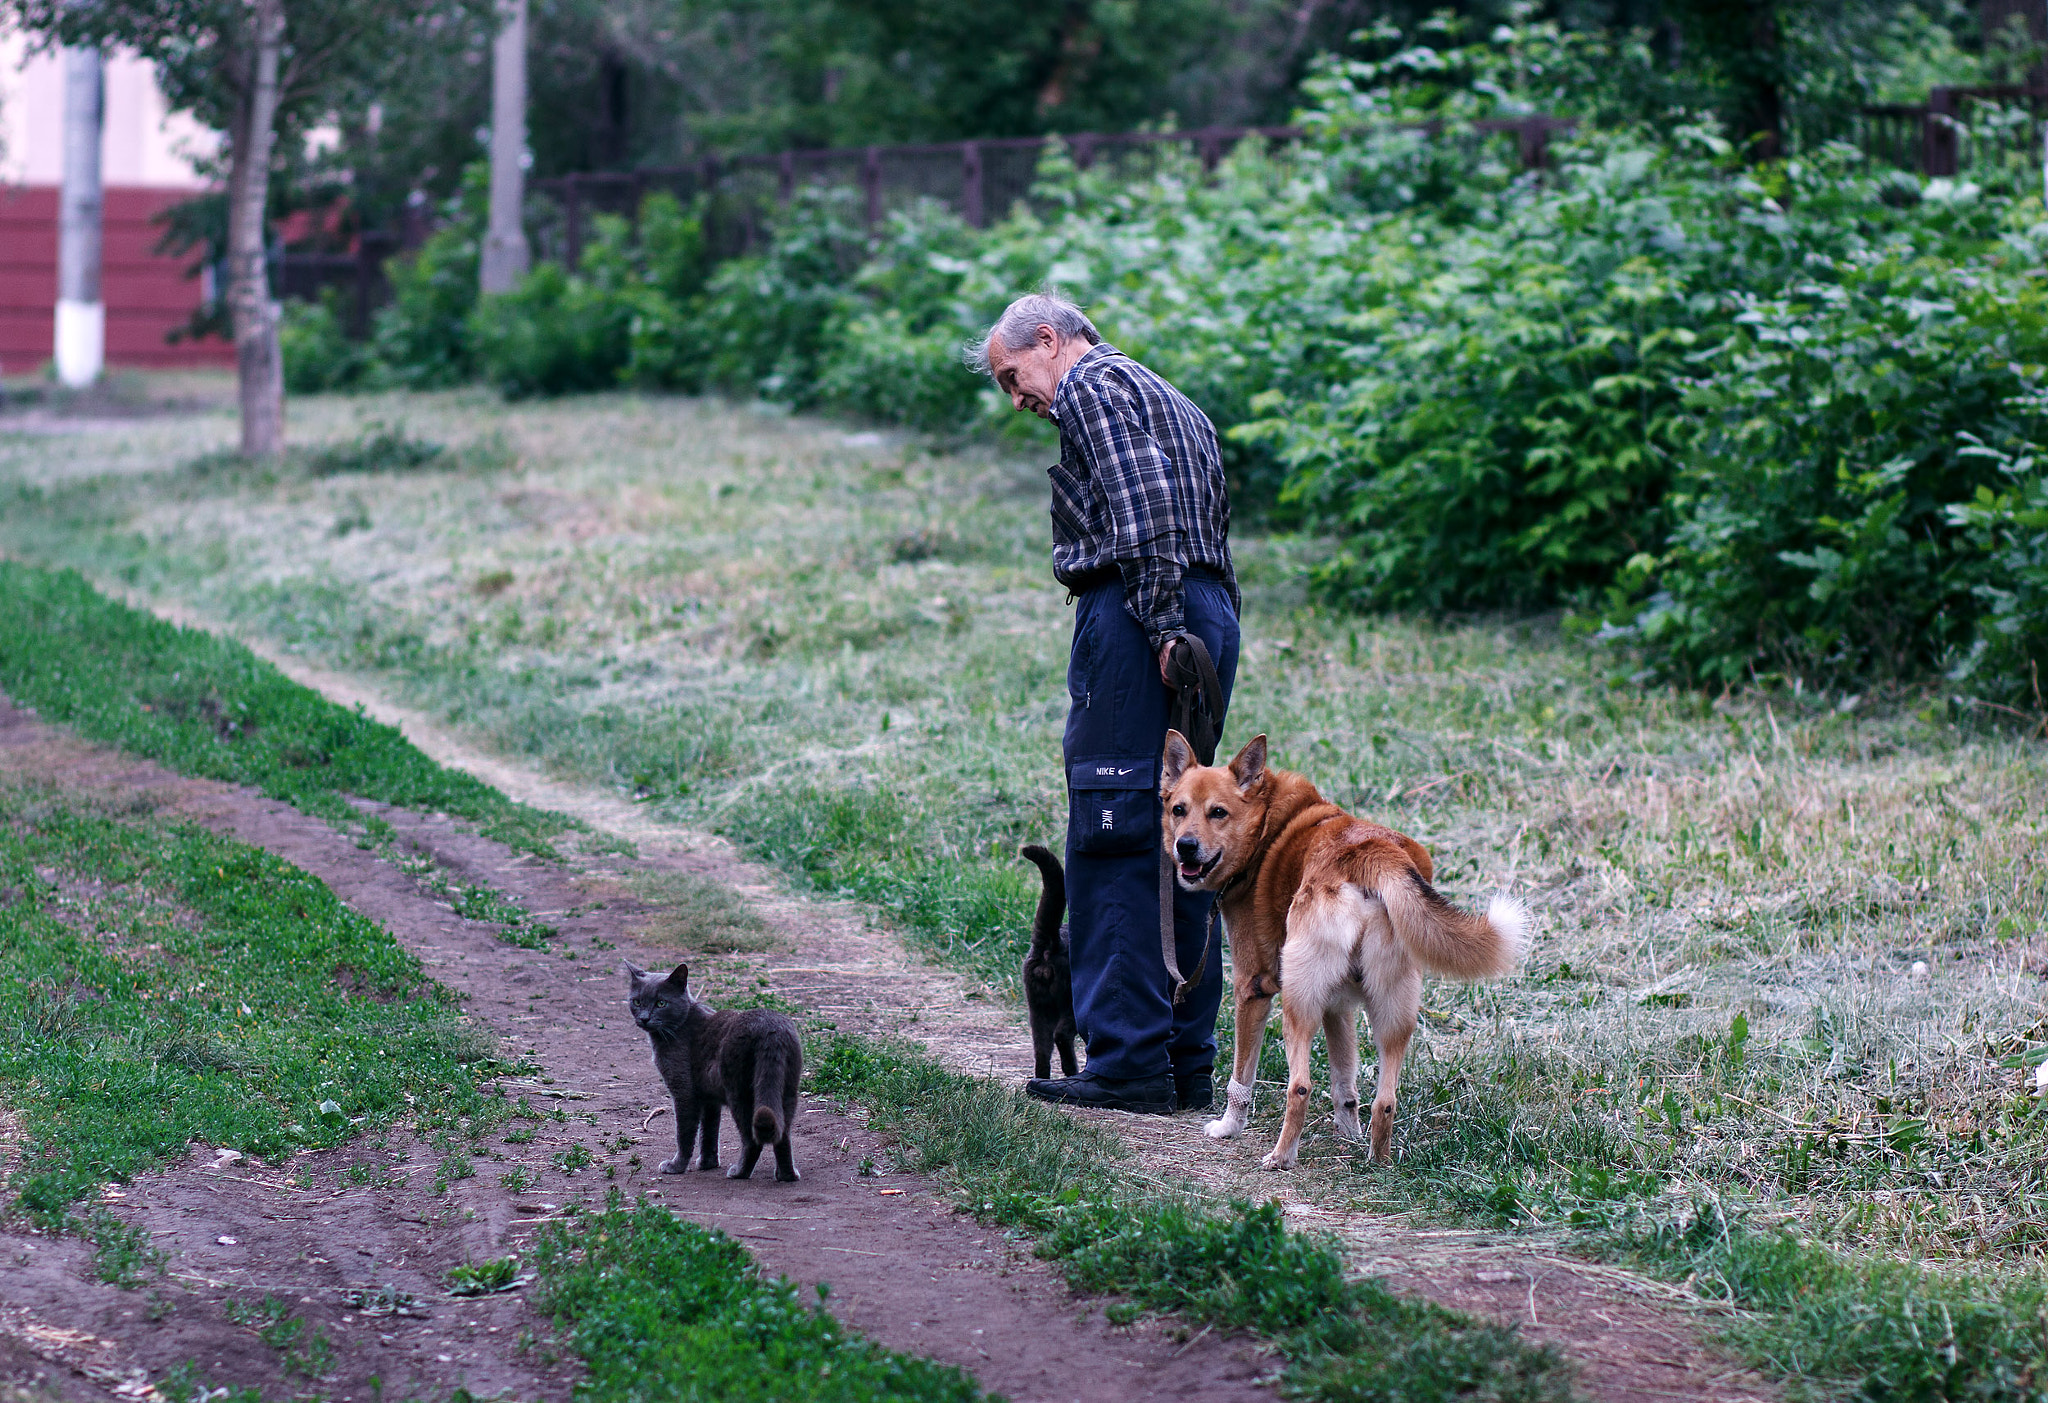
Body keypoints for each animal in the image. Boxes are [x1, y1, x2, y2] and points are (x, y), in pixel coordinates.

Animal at [626, 958, 802, 1179]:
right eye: (637, 1002)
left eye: (661, 1003)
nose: (644, 1018)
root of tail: (771, 1030)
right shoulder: (709, 1098)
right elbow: (709, 1131)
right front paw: (707, 1163)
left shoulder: (684, 1090)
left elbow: (684, 1133)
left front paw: (676, 1166)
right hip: (787, 1088)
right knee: (782, 1134)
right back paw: (786, 1175)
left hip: (740, 1092)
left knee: (752, 1139)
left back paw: (738, 1172)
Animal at [1015, 847, 1081, 1081]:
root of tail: (1053, 942)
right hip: (1070, 1003)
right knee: (1061, 1035)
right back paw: (1072, 1072)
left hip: (1038, 1006)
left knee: (1042, 1050)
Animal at [1171, 729, 1523, 1163]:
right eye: (1178, 809)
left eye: (1218, 812)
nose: (1184, 846)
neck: (1268, 824)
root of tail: (1372, 853)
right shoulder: (1337, 1006)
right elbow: (1345, 1084)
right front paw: (1349, 1135)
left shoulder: (1252, 990)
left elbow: (1242, 1077)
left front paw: (1228, 1128)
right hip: (1392, 1012)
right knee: (1385, 1100)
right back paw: (1377, 1161)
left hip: (1298, 1005)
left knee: (1300, 1087)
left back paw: (1281, 1158)